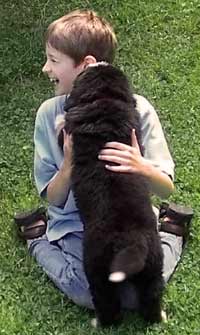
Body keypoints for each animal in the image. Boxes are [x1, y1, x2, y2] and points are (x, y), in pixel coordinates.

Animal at [57, 63, 164, 328]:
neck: (104, 99)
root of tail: (131, 243)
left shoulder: (69, 132)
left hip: (97, 269)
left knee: (107, 303)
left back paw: (100, 322)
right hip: (153, 267)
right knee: (151, 298)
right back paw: (158, 317)